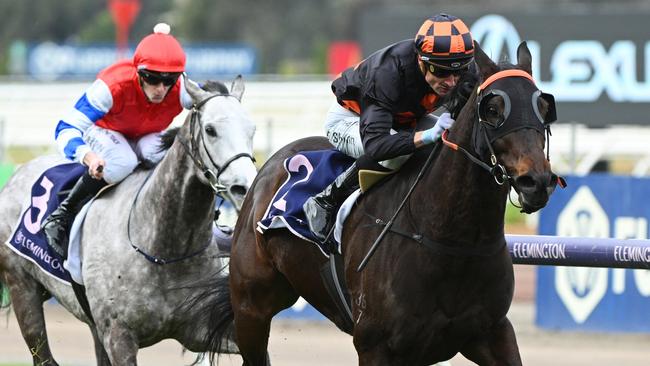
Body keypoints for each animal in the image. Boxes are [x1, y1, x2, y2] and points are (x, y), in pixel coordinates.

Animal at [0, 78, 256, 366]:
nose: (243, 188)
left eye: (252, 129)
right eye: (211, 130)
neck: (165, 249)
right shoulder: (119, 335)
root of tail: (18, 173)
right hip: (23, 288)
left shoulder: (202, 328)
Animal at [199, 41, 556, 364]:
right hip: (251, 308)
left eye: (543, 107)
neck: (452, 241)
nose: (536, 181)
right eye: (493, 110)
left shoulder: (491, 333)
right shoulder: (376, 345)